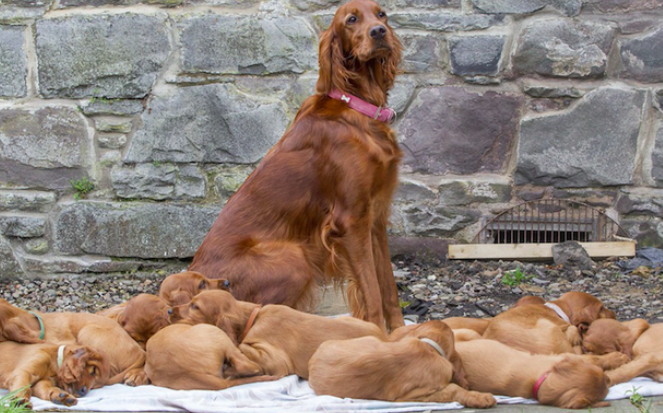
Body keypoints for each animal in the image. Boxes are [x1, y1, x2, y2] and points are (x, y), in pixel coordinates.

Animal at [172, 288, 390, 378]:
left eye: (195, 307)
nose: (169, 311)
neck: (253, 318)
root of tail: (385, 338)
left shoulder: (276, 362)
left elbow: (240, 345)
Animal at [188, 0, 404, 330]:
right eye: (351, 20)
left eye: (382, 15)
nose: (379, 32)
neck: (358, 109)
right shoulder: (351, 221)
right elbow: (372, 293)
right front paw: (377, 336)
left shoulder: (375, 218)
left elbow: (389, 289)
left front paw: (403, 333)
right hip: (294, 257)